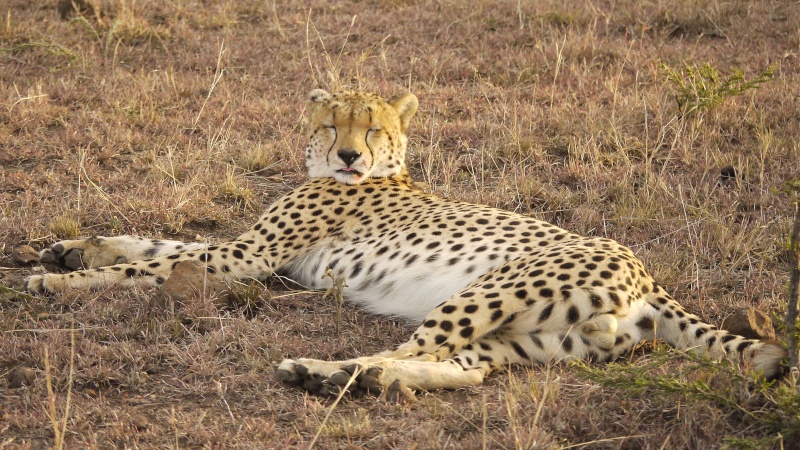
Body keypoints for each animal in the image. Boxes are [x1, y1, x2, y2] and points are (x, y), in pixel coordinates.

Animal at [25, 88, 788, 394]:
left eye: (373, 127)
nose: (349, 156)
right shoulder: (250, 253)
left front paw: (57, 280)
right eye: (334, 124)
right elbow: (158, 245)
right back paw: (357, 379)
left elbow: (156, 265)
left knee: (414, 348)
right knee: (465, 369)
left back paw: (328, 372)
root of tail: (647, 276)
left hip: (488, 290)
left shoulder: (250, 258)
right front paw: (72, 249)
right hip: (539, 338)